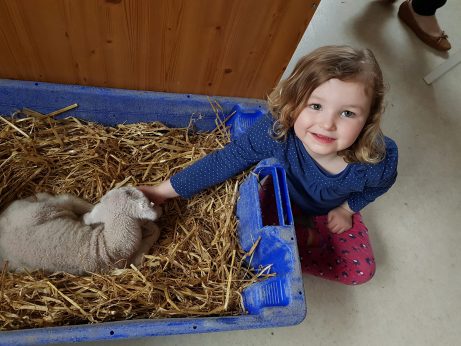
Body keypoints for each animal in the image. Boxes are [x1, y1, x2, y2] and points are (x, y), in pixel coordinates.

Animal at [0, 187, 162, 276]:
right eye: (127, 192)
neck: (109, 248)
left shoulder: (129, 262)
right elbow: (153, 234)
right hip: (47, 208)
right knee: (63, 198)